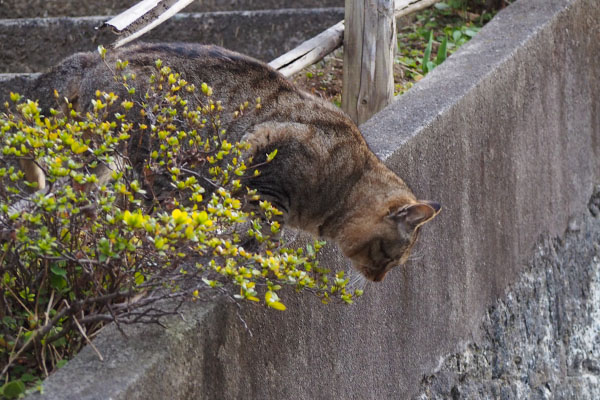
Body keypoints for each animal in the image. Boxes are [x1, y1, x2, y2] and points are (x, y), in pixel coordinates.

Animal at [14, 43, 438, 282]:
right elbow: (264, 228)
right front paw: (256, 256)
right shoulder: (267, 163)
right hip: (142, 160)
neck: (345, 183)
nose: (380, 281)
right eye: (391, 256)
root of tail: (98, 58)